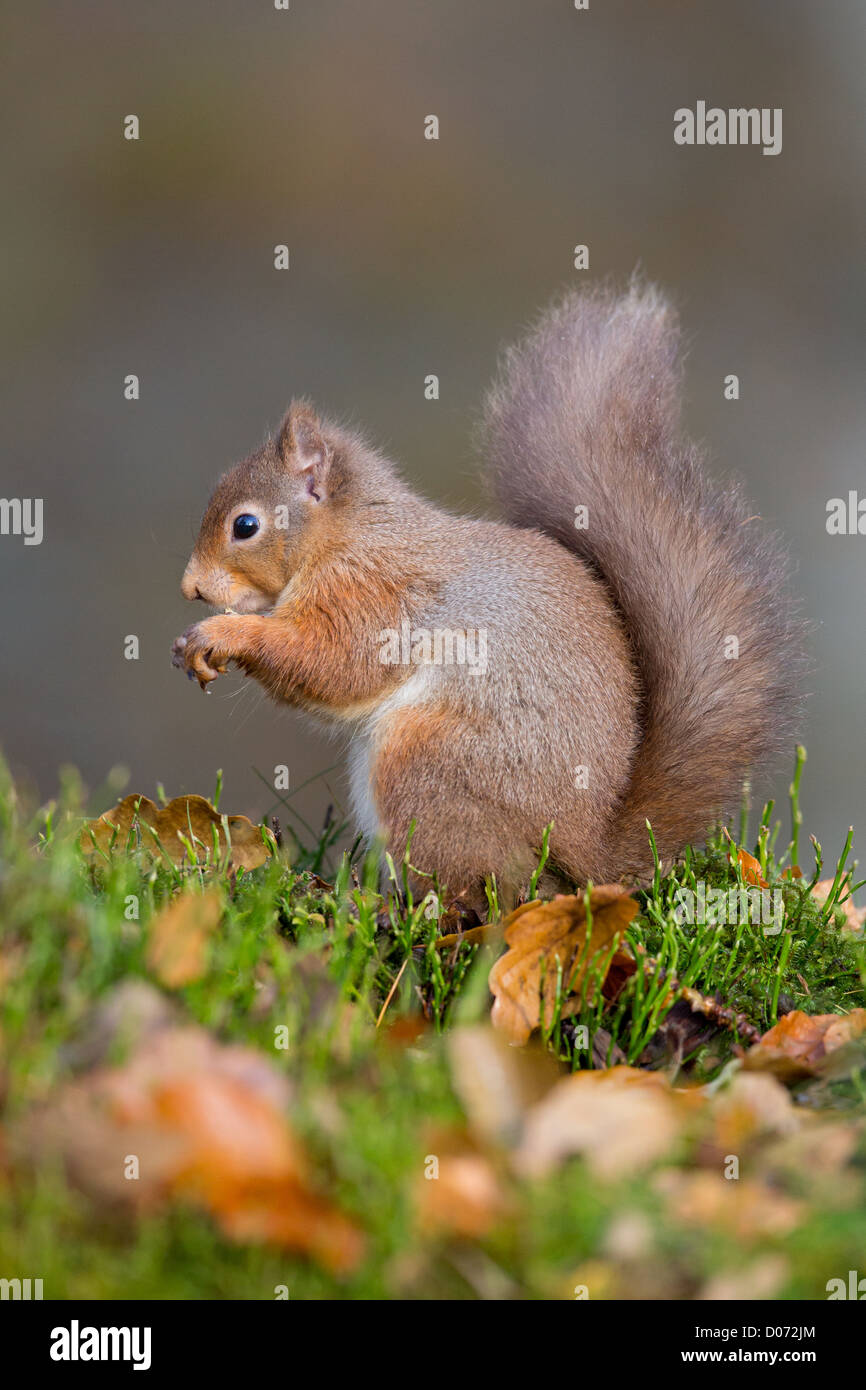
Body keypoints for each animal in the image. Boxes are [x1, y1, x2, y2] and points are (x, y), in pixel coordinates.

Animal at [170, 287, 806, 906]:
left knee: (478, 888)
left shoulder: (372, 593)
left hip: (426, 764)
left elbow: (335, 666)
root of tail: (589, 848)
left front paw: (222, 635)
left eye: (245, 526)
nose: (191, 588)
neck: (347, 534)